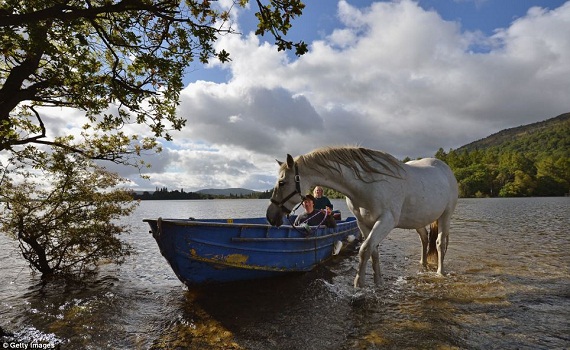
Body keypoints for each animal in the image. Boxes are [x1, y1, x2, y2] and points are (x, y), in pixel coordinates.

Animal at [266, 146, 458, 288]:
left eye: (282, 182)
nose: (270, 216)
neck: (368, 184)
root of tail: (446, 169)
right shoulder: (364, 223)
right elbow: (373, 251)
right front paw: (378, 283)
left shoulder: (386, 221)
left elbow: (364, 250)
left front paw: (359, 284)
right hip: (418, 220)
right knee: (424, 239)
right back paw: (423, 264)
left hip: (445, 216)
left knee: (440, 243)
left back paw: (440, 272)